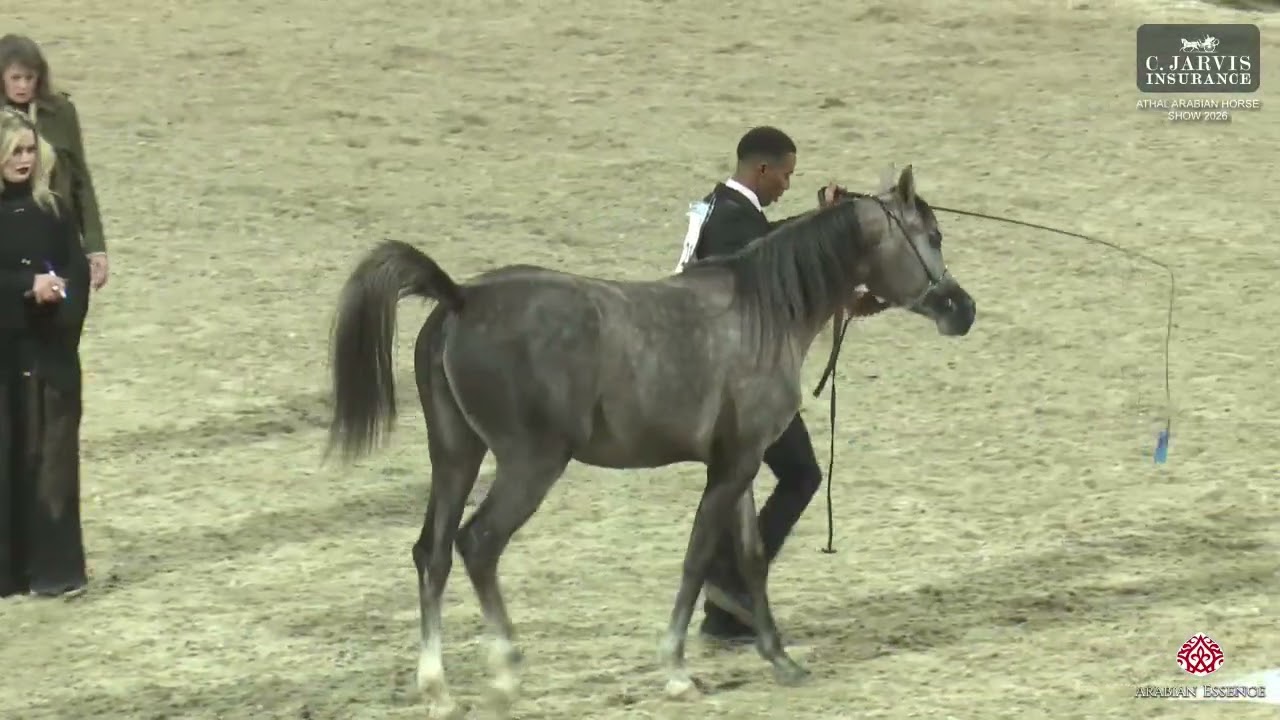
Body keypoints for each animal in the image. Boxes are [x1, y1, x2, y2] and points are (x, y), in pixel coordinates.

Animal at [325, 165, 975, 718]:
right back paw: (507, 673)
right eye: (933, 234)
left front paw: (779, 658)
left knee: (431, 552)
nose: (961, 309)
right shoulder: (732, 468)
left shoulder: (739, 465)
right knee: (478, 544)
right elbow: (698, 557)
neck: (762, 312)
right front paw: (677, 672)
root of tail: (461, 297)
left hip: (456, 456)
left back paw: (437, 687)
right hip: (529, 465)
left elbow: (750, 556)